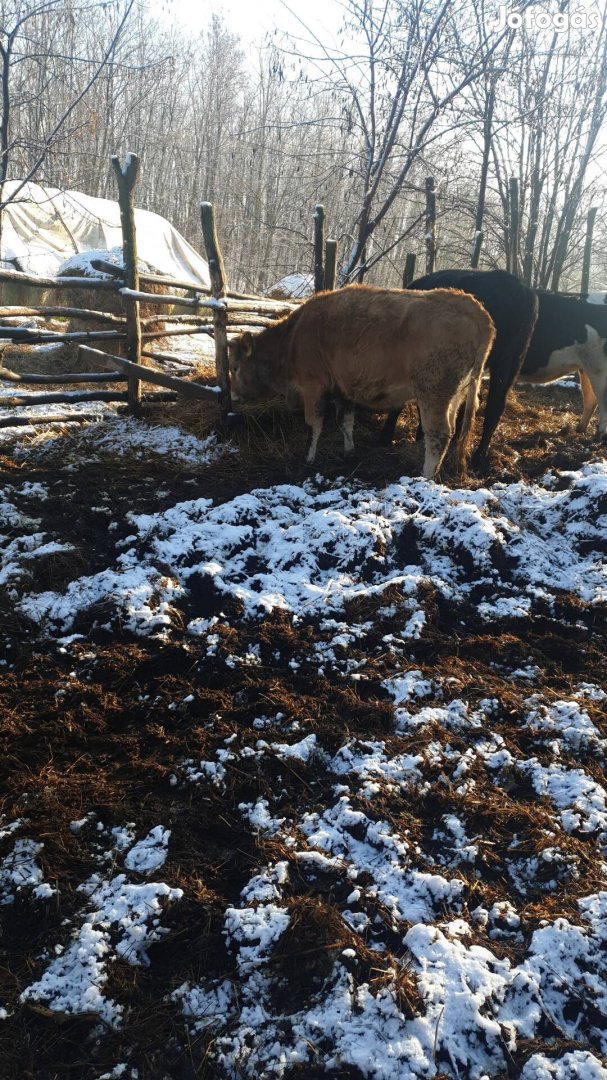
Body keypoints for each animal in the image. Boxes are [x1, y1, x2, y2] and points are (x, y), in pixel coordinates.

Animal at [226, 282, 492, 477]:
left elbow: (314, 425)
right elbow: (346, 422)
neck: (291, 339)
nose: (233, 395)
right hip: (454, 395)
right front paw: (349, 452)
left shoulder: (313, 388)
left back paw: (425, 476)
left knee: (438, 434)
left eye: (235, 367)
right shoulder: (343, 390)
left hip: (433, 393)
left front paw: (309, 458)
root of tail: (472, 306)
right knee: (452, 430)